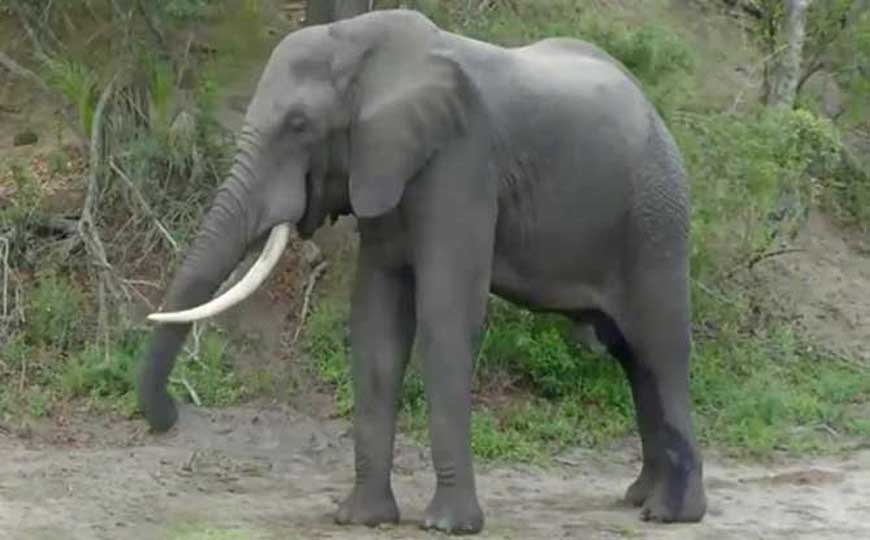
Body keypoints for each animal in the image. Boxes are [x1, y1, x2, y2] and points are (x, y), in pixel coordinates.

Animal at [138, 9, 707, 535]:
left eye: (299, 125)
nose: (172, 415)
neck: (366, 54)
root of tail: (656, 112)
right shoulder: (384, 172)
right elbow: (376, 326)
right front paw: (361, 519)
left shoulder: (460, 162)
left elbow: (446, 318)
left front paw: (447, 526)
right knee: (632, 358)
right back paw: (638, 498)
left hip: (655, 219)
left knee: (662, 347)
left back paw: (672, 513)